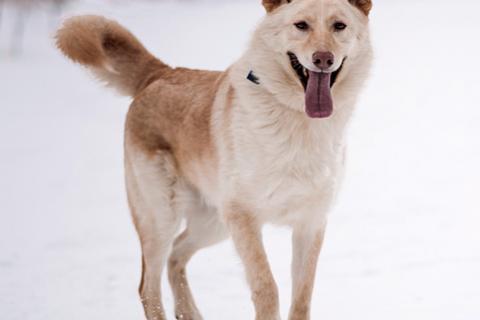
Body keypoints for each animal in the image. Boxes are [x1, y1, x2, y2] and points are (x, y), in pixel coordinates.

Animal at [55, 0, 372, 318]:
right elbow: (267, 288)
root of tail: (161, 74)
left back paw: (189, 312)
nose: (323, 59)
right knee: (148, 287)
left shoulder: (311, 222)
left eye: (339, 26)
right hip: (162, 218)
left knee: (176, 255)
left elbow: (302, 299)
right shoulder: (243, 218)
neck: (296, 119)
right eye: (301, 25)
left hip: (212, 224)